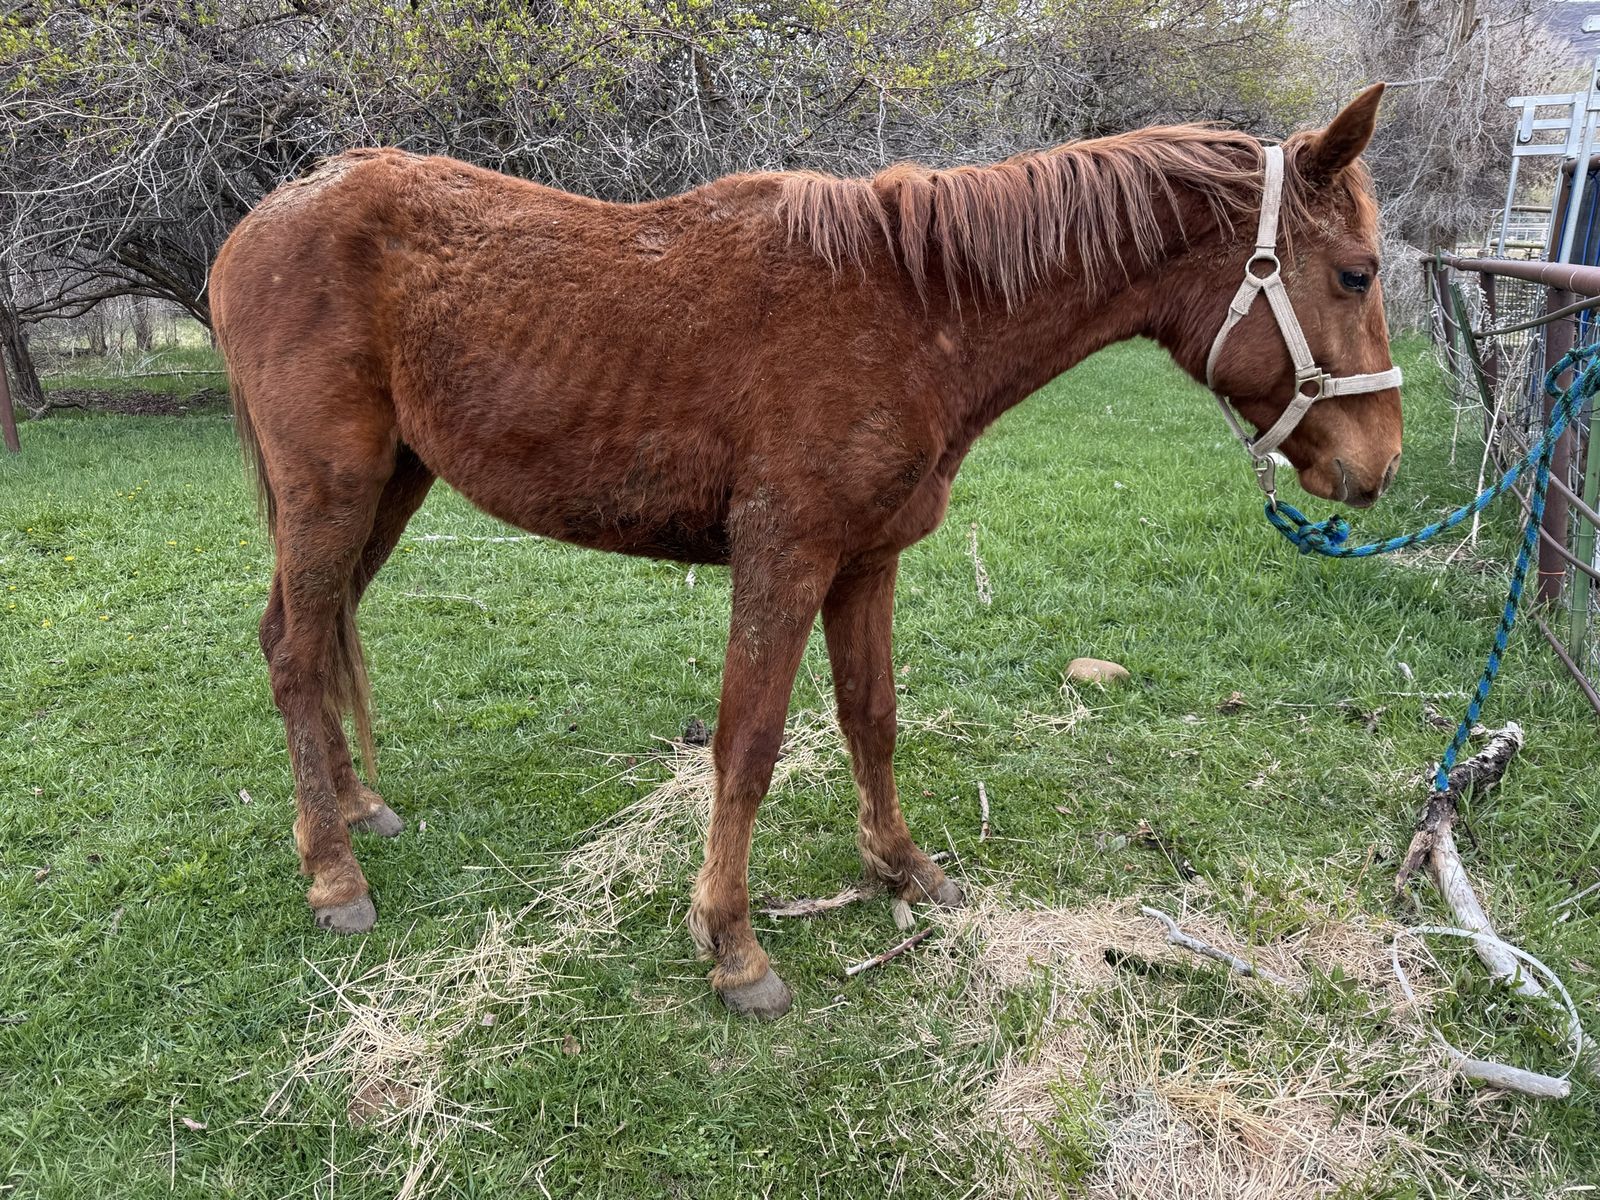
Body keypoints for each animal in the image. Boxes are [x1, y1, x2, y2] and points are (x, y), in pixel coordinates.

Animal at [211, 84, 1401, 1019]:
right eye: (1355, 274)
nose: (1379, 464)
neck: (912, 307)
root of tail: (259, 224)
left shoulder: (865, 561)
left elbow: (871, 715)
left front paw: (902, 865)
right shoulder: (783, 556)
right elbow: (748, 744)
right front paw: (731, 944)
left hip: (388, 490)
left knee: (302, 640)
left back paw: (349, 811)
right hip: (334, 492)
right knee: (294, 652)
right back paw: (334, 876)